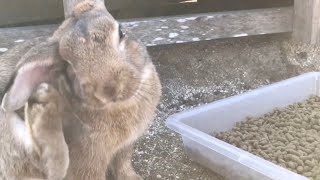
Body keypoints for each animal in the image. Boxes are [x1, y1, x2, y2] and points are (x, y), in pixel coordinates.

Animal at [2, 0, 161, 179]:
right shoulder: (87, 161)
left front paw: (133, 177)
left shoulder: (125, 147)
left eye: (121, 33)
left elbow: (123, 164)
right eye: (68, 65)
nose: (109, 91)